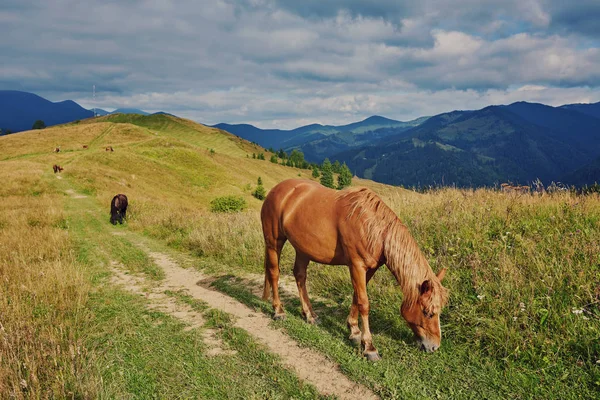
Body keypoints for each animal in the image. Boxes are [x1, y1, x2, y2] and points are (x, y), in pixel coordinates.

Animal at [260, 179, 448, 360]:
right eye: (427, 312)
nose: (434, 347)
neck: (374, 228)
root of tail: (276, 190)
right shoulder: (357, 266)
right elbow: (364, 303)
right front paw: (369, 347)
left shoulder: (369, 269)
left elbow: (356, 297)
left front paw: (354, 331)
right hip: (274, 243)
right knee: (274, 273)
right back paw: (278, 311)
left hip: (302, 250)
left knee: (300, 276)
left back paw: (310, 315)